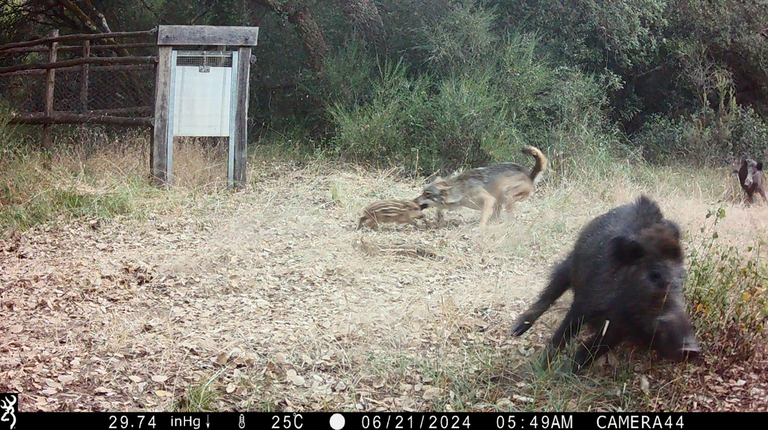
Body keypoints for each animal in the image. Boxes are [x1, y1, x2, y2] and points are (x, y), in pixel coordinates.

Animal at [414, 146, 544, 228]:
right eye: (423, 192)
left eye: (428, 194)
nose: (413, 201)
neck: (461, 190)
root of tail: (530, 175)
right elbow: (439, 211)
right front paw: (438, 221)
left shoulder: (489, 200)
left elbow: (482, 220)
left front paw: (479, 229)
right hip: (500, 199)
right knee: (498, 218)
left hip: (506, 193)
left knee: (510, 221)